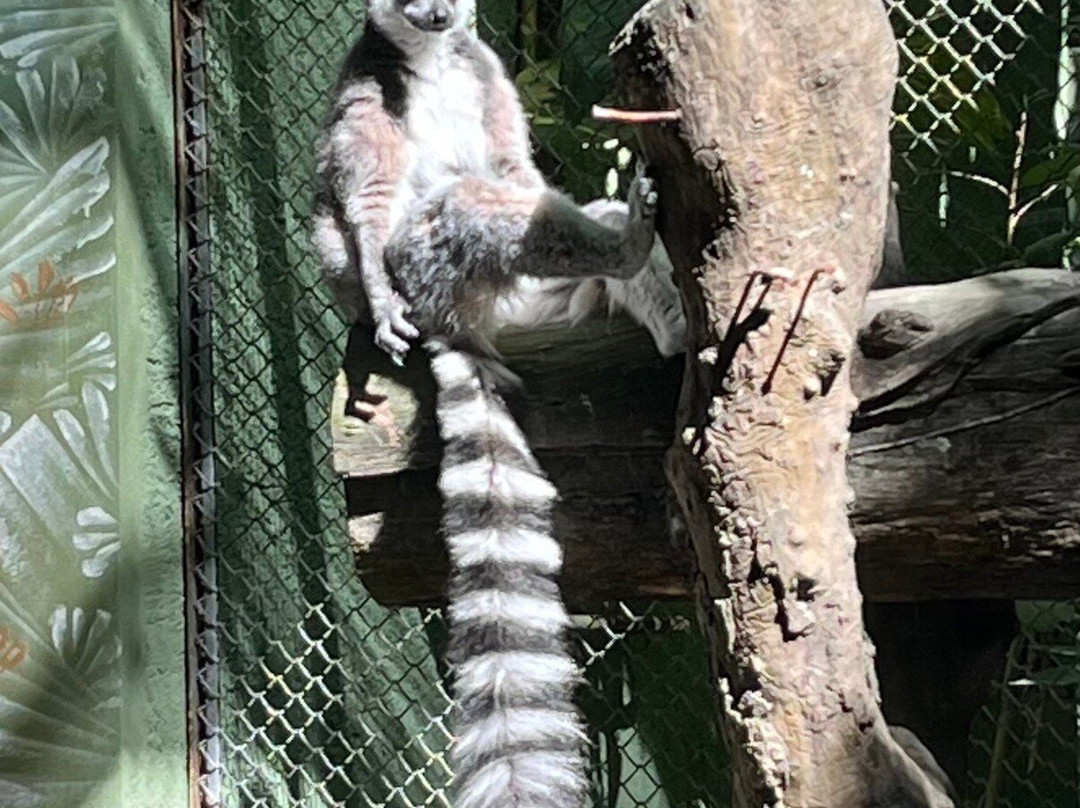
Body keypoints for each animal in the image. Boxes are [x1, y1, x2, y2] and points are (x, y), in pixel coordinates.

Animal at [311, 2, 683, 808]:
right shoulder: (365, 82)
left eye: (447, 17)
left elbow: (517, 168)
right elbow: (360, 201)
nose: (442, 15)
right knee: (439, 209)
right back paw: (628, 250)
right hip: (430, 266)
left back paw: (654, 298)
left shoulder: (484, 70)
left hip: (540, 303)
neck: (429, 60)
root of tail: (459, 320)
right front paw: (377, 301)